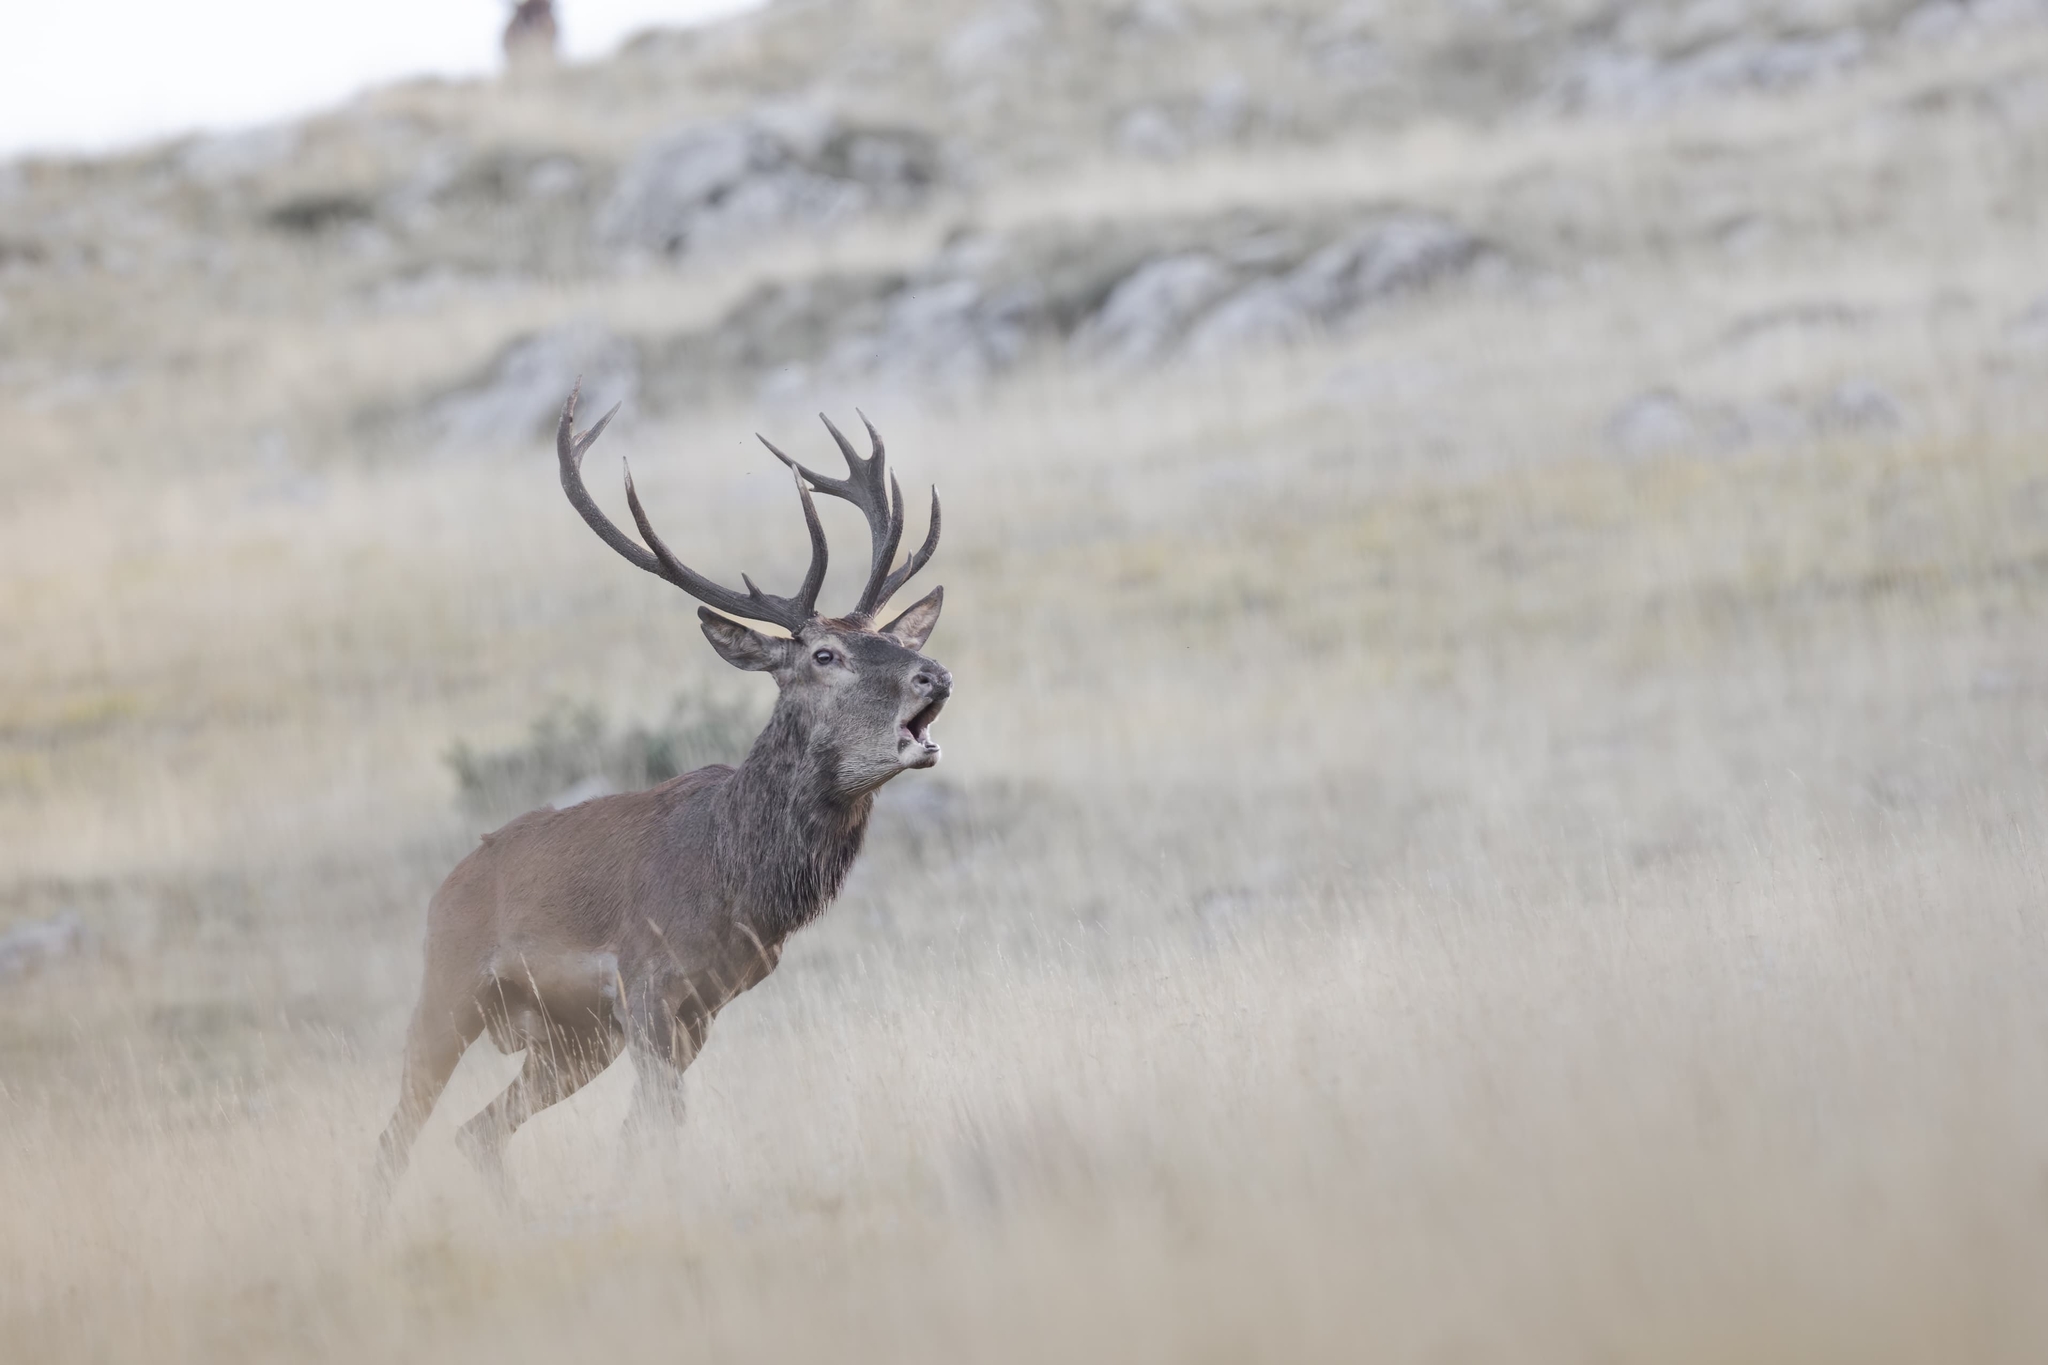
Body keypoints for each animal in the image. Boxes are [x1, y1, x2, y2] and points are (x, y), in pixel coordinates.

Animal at [371, 386, 950, 1209]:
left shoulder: (702, 1008)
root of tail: (448, 884)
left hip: (570, 1040)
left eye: (893, 639)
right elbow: (660, 1121)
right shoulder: (645, 982)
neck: (738, 882)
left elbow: (645, 1129)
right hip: (448, 990)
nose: (935, 673)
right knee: (397, 1137)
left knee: (475, 1130)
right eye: (824, 653)